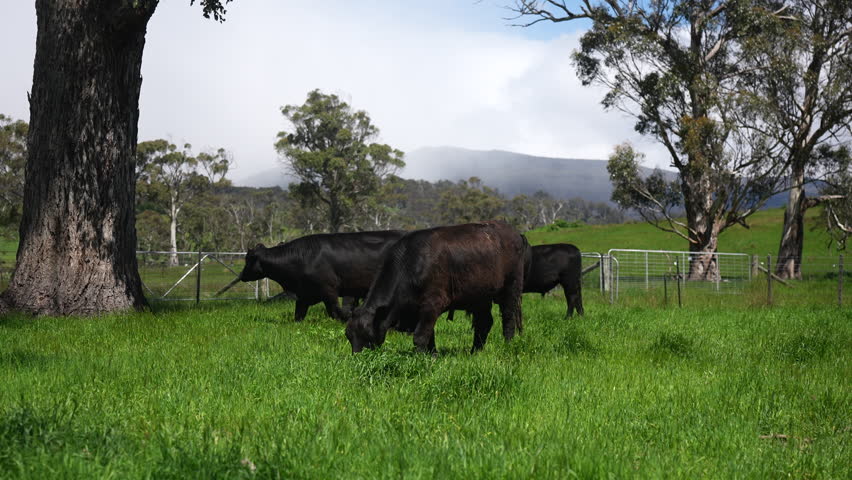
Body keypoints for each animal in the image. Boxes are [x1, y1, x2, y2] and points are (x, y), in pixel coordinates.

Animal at [238, 230, 406, 322]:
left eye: (248, 259)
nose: (241, 275)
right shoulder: (304, 295)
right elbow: (298, 315)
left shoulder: (329, 290)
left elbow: (335, 312)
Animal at [345, 221, 530, 354]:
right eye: (349, 336)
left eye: (368, 335)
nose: (358, 359)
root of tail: (515, 232)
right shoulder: (419, 310)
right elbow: (429, 336)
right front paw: (432, 355)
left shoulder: (432, 304)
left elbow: (420, 336)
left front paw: (419, 358)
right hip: (480, 296)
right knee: (484, 323)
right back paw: (475, 351)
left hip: (511, 288)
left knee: (508, 318)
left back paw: (507, 345)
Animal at [448, 242, 584, 321]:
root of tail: (575, 249)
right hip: (574, 282)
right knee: (577, 299)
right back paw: (580, 316)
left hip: (569, 281)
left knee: (572, 298)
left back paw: (567, 317)